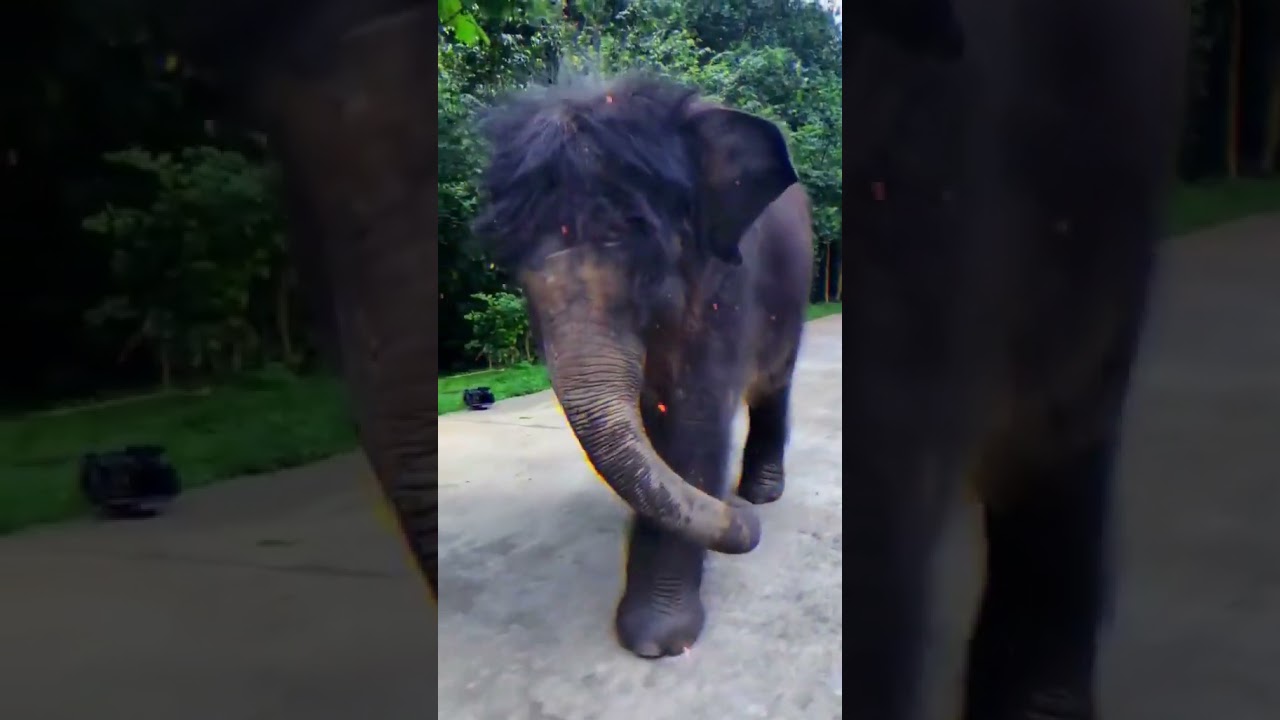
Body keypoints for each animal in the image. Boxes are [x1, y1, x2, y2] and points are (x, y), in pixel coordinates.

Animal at [470, 76, 815, 657]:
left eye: (633, 231)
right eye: (511, 259)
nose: (744, 523)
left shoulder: (727, 282)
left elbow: (694, 417)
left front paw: (657, 643)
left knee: (775, 382)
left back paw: (760, 494)